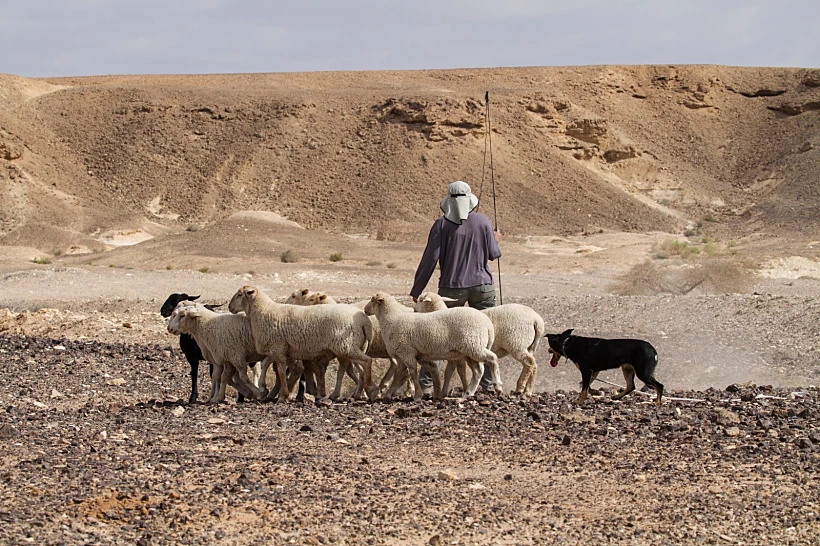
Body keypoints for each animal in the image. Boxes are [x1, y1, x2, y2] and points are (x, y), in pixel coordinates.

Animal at [227, 284, 374, 400]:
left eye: (239, 294)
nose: (229, 307)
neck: (263, 311)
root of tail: (364, 321)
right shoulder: (279, 348)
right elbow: (265, 364)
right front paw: (264, 388)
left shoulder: (278, 348)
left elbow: (281, 372)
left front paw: (282, 395)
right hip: (353, 347)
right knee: (360, 367)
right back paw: (361, 392)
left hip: (346, 347)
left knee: (367, 361)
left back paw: (370, 390)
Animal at [366, 294, 500, 400]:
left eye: (372, 300)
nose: (365, 310)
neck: (391, 319)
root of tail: (488, 325)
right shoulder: (404, 354)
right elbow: (398, 374)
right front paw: (388, 394)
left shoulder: (406, 352)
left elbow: (413, 373)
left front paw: (418, 395)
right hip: (470, 350)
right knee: (478, 370)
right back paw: (468, 393)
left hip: (473, 345)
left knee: (492, 359)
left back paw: (496, 386)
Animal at [416, 294, 544, 396]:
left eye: (420, 300)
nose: (415, 310)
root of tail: (537, 319)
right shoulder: (454, 357)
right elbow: (449, 372)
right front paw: (444, 392)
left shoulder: (460, 357)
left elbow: (460, 372)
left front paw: (465, 388)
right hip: (529, 346)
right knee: (532, 365)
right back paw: (525, 389)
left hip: (517, 344)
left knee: (530, 363)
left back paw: (522, 389)